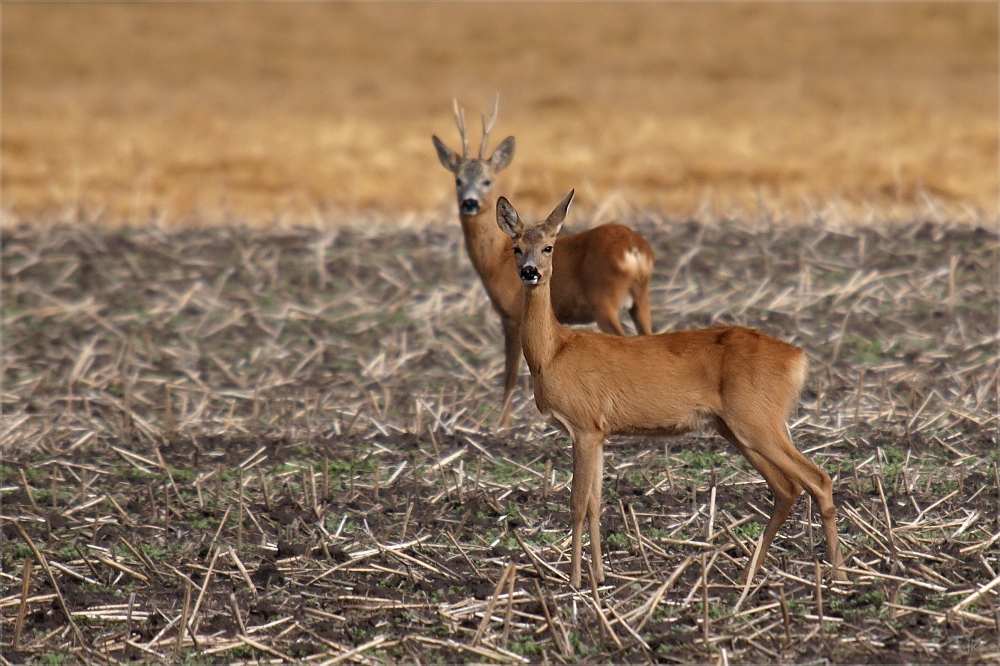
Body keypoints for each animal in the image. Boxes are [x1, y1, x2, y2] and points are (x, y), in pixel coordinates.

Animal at [432, 94, 656, 426]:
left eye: (487, 181)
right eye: (458, 180)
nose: (469, 203)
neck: (496, 259)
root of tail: (636, 249)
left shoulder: (511, 315)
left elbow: (510, 375)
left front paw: (502, 426)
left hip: (605, 300)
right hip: (640, 299)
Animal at [498, 191, 844, 588]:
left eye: (549, 247)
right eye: (516, 247)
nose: (530, 272)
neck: (552, 351)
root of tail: (796, 358)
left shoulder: (583, 425)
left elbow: (576, 503)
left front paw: (574, 582)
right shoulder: (599, 432)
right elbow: (595, 503)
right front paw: (599, 575)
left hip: (756, 421)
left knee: (818, 479)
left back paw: (837, 573)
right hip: (739, 428)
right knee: (787, 488)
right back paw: (751, 573)